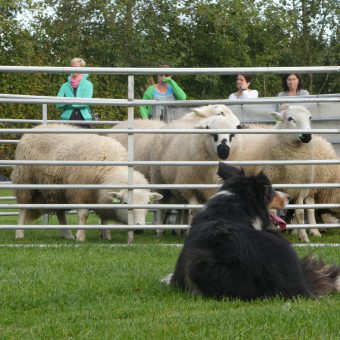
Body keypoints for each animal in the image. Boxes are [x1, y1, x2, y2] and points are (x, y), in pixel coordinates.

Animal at [11, 123, 163, 243]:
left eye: (147, 203)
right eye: (125, 203)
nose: (139, 229)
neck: (110, 168)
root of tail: (36, 127)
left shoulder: (100, 196)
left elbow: (103, 216)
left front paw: (106, 235)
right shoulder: (79, 192)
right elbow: (83, 215)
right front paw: (81, 237)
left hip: (56, 189)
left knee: (60, 212)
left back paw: (68, 235)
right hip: (25, 181)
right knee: (23, 207)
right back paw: (19, 233)